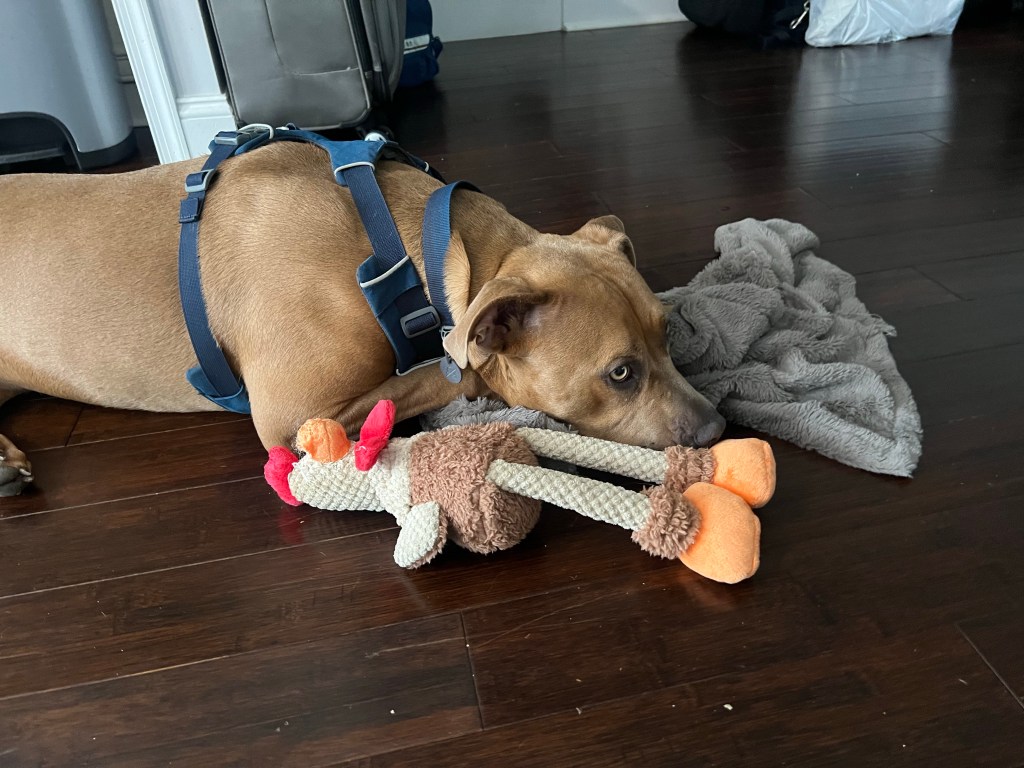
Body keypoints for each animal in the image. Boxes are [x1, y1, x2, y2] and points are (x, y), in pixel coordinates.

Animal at [0, 141, 724, 485]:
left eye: (669, 334)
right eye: (620, 374)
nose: (719, 429)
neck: (390, 254)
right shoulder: (296, 417)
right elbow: (438, 372)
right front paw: (476, 375)